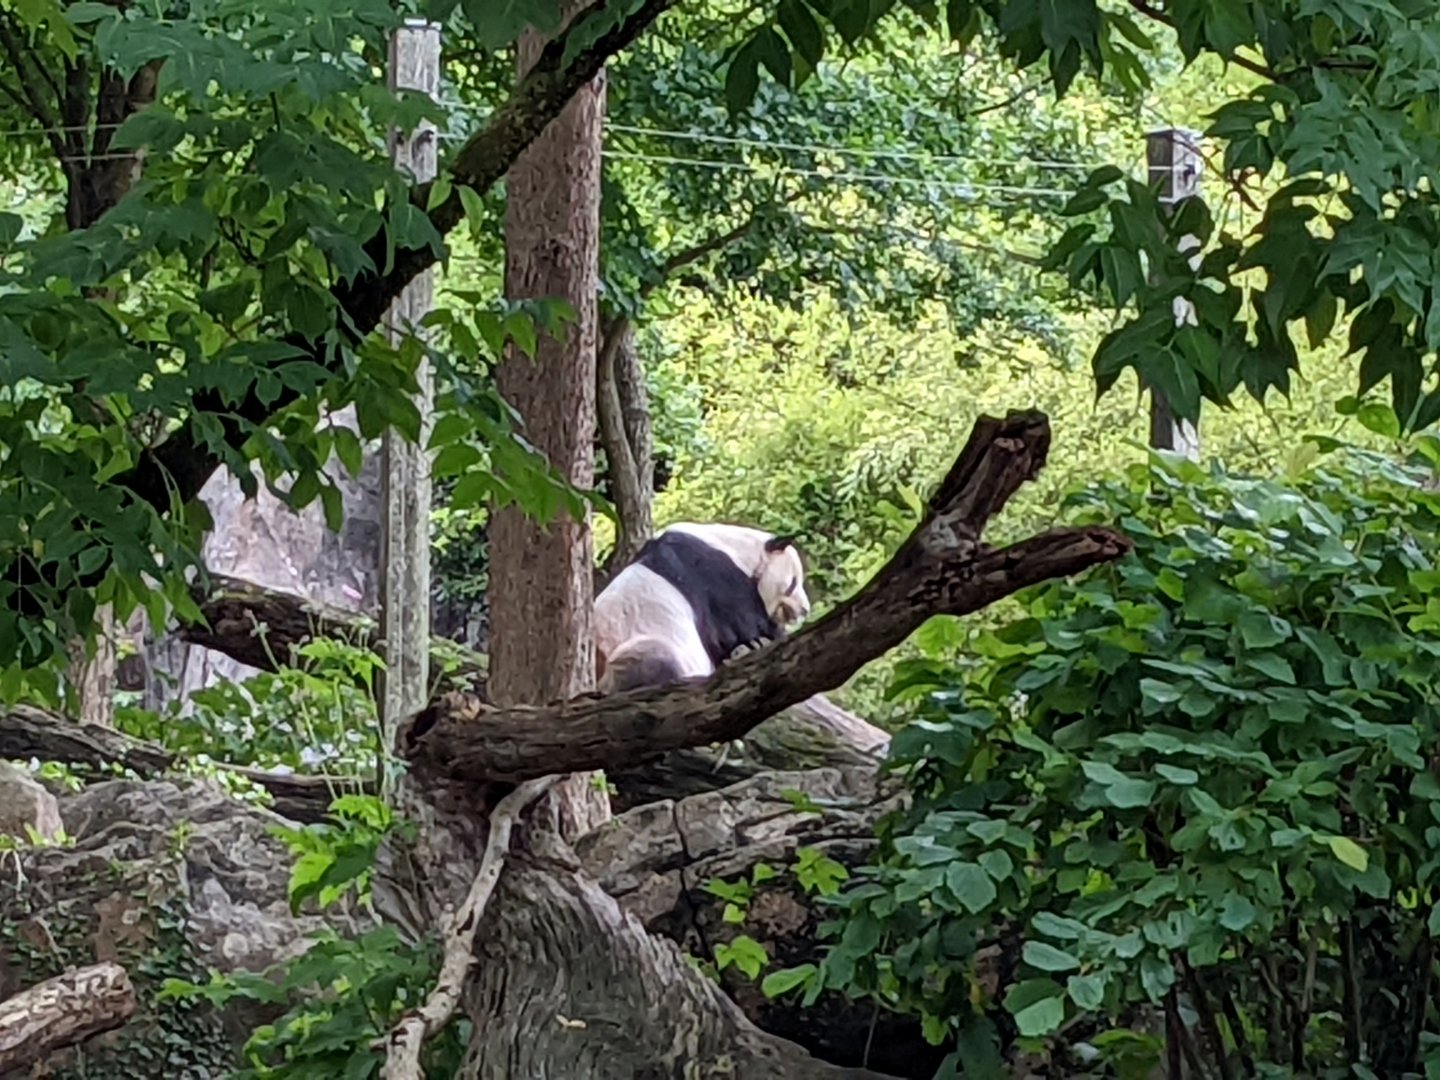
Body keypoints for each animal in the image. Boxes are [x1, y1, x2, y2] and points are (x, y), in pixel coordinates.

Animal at [595, 522, 811, 694]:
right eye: (793, 583)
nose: (805, 610)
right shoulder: (713, 575)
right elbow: (743, 624)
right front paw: (762, 639)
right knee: (651, 658)